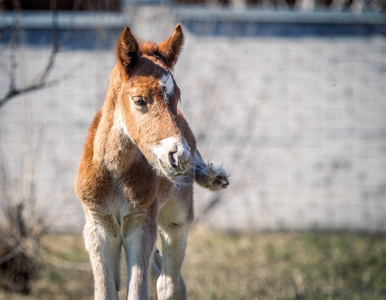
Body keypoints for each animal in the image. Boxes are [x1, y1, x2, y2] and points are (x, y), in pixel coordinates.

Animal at [74, 24, 228, 298]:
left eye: (177, 97)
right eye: (139, 100)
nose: (179, 156)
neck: (115, 175)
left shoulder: (142, 224)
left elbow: (138, 292)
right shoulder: (97, 227)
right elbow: (105, 292)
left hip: (176, 217)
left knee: (169, 283)